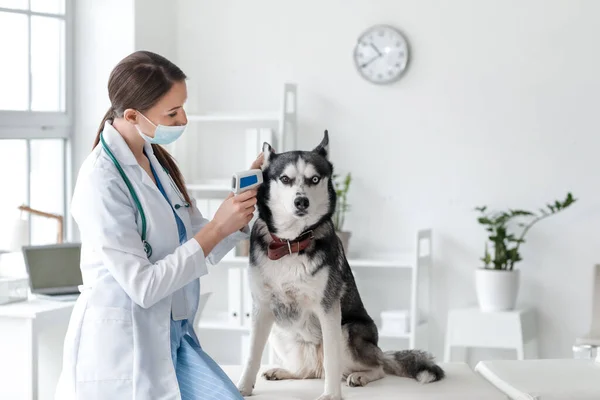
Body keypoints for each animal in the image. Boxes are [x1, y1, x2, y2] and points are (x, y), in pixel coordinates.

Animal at [237, 132, 442, 400]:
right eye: (285, 179)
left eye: (314, 179)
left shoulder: (329, 310)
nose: (301, 201)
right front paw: (242, 387)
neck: (292, 244)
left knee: (377, 367)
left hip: (348, 330)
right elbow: (251, 355)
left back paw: (361, 376)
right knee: (308, 371)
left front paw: (332, 395)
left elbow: (332, 360)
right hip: (279, 332)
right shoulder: (261, 309)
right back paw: (285, 371)